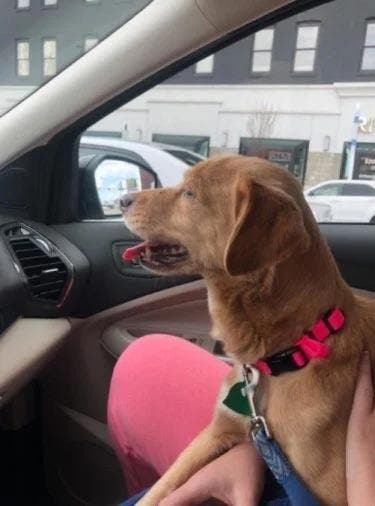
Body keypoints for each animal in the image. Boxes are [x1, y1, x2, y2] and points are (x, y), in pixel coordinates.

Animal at [122, 157, 374, 506]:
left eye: (189, 193)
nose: (122, 199)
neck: (289, 354)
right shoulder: (215, 431)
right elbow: (162, 486)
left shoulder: (329, 492)